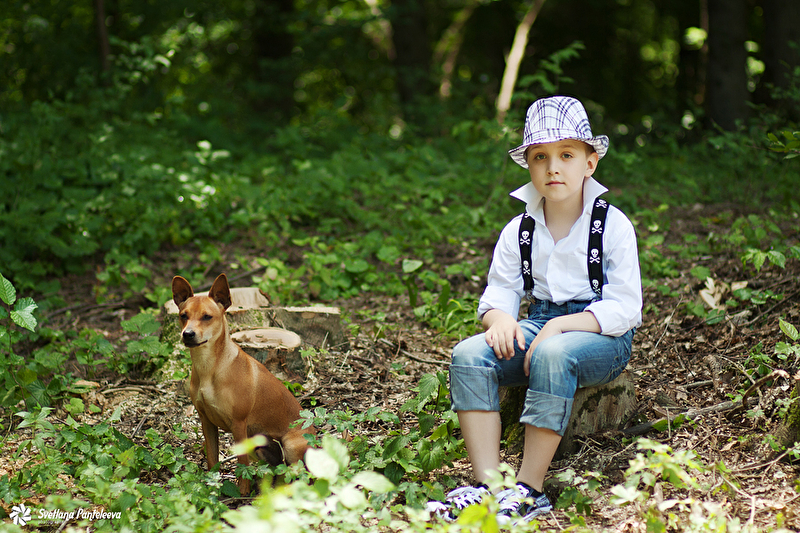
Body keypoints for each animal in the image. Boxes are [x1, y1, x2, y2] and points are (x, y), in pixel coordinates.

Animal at [172, 273, 313, 495]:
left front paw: (242, 492)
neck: (209, 367)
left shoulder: (238, 424)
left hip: (289, 445)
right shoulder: (206, 421)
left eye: (207, 317)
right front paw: (213, 486)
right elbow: (212, 458)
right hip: (260, 444)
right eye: (183, 315)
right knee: (279, 470)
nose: (188, 334)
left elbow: (242, 463)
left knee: (299, 472)